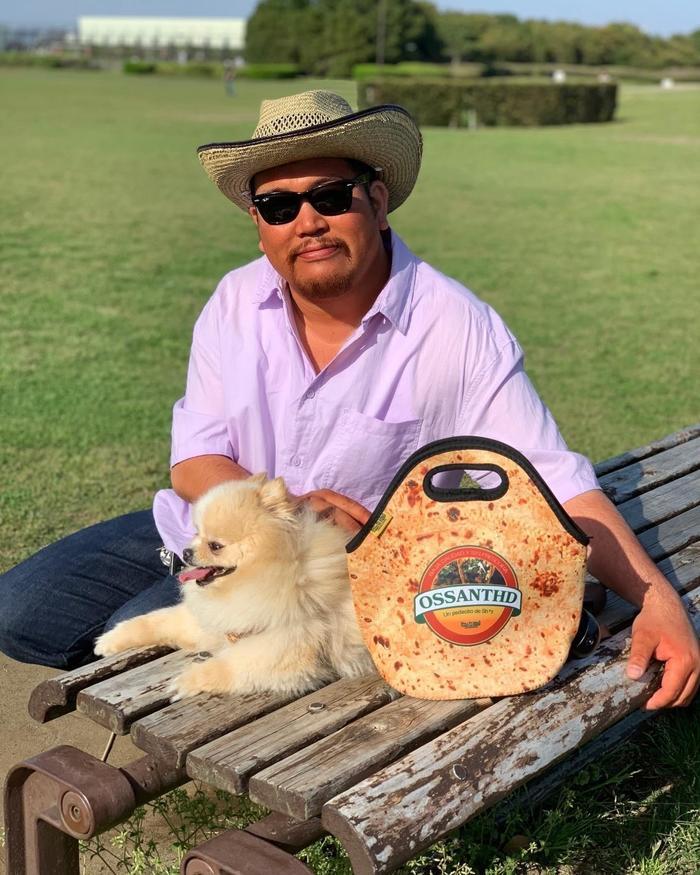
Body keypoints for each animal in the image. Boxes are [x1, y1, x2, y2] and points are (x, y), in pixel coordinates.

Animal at [94, 475, 376, 700]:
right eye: (196, 533)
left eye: (215, 546)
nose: (186, 552)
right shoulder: (217, 618)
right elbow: (157, 620)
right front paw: (110, 639)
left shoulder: (285, 644)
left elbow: (229, 665)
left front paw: (185, 680)